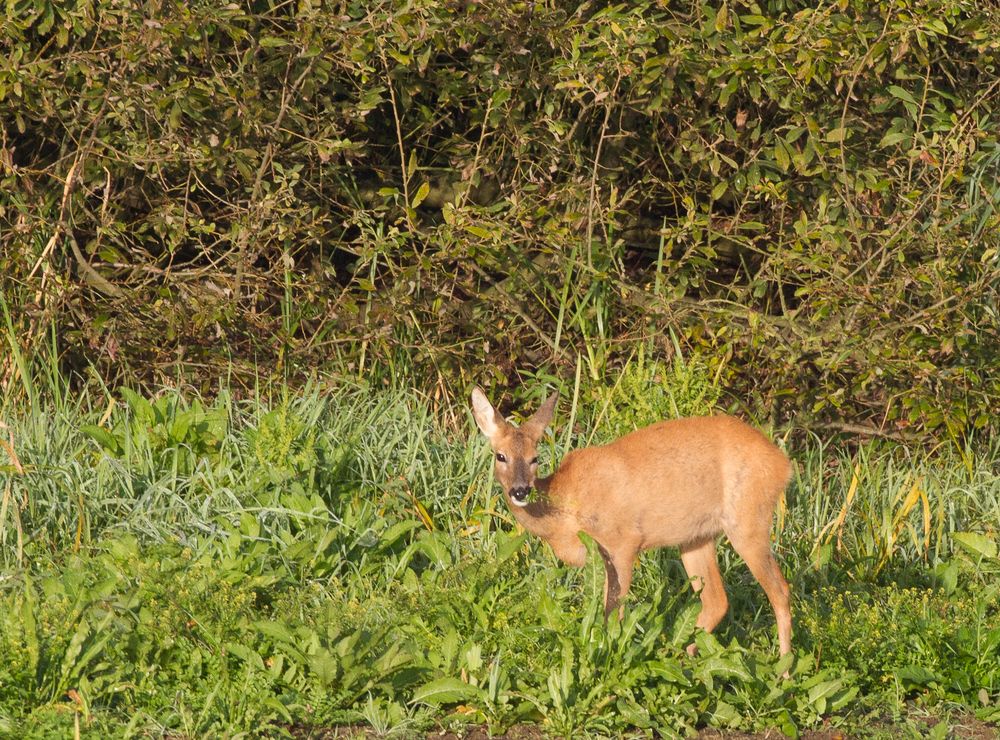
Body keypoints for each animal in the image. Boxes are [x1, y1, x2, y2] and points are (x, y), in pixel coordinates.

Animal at [472, 384, 792, 656]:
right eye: (500, 456)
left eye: (535, 457)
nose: (520, 490)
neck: (565, 510)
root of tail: (783, 464)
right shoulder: (602, 554)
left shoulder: (623, 542)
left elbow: (614, 611)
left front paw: (608, 651)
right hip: (696, 537)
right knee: (716, 600)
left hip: (748, 519)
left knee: (780, 590)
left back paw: (783, 669)